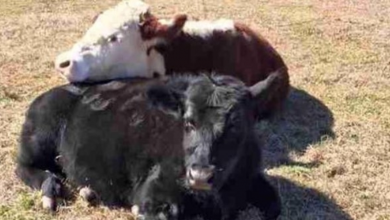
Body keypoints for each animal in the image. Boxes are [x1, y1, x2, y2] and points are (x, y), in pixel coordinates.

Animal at [16, 72, 282, 220]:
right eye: (188, 122)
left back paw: (87, 192)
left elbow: (275, 205)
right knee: (24, 167)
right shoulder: (154, 190)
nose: (199, 176)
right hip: (40, 136)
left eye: (236, 124)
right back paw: (50, 192)